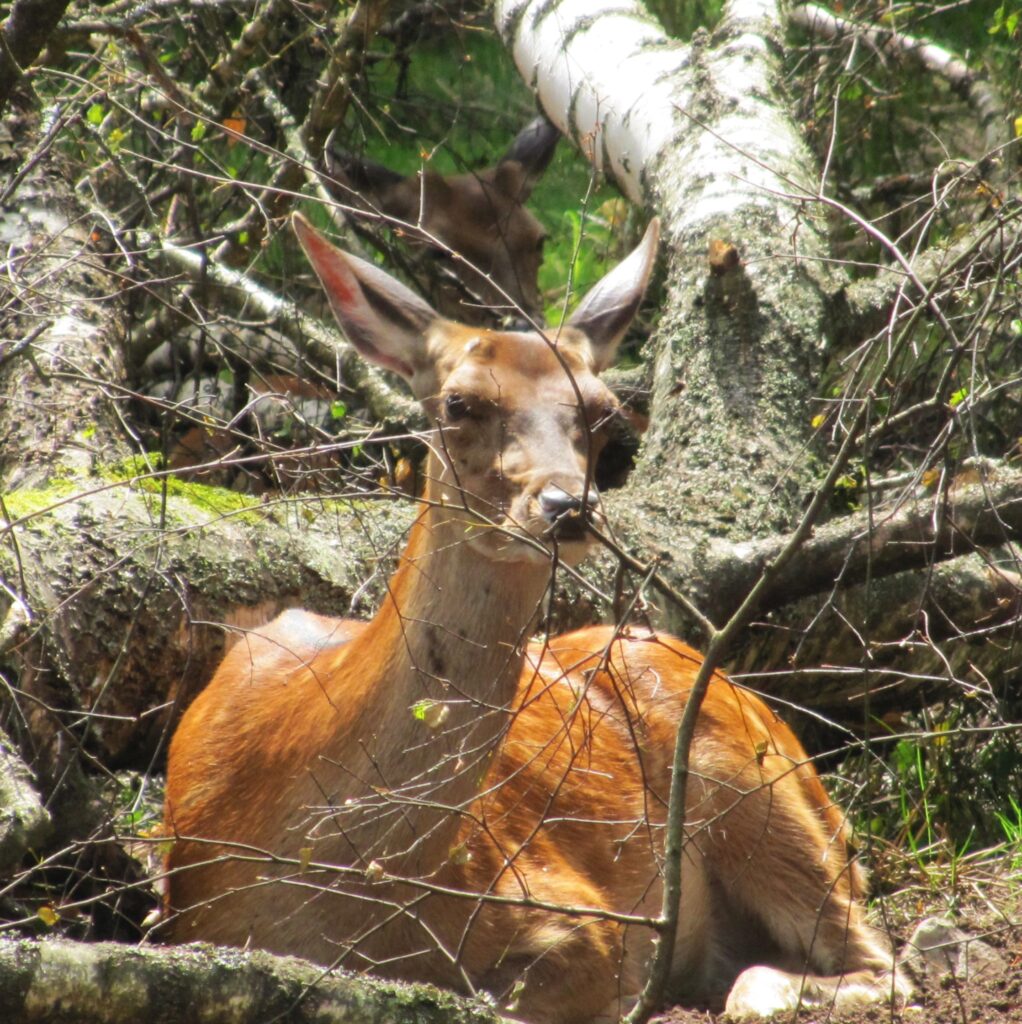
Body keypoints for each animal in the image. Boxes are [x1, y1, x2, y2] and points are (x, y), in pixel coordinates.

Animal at [163, 211, 909, 1019]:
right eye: (459, 403)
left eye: (603, 411)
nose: (567, 506)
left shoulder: (584, 923)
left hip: (759, 791)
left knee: (871, 963)